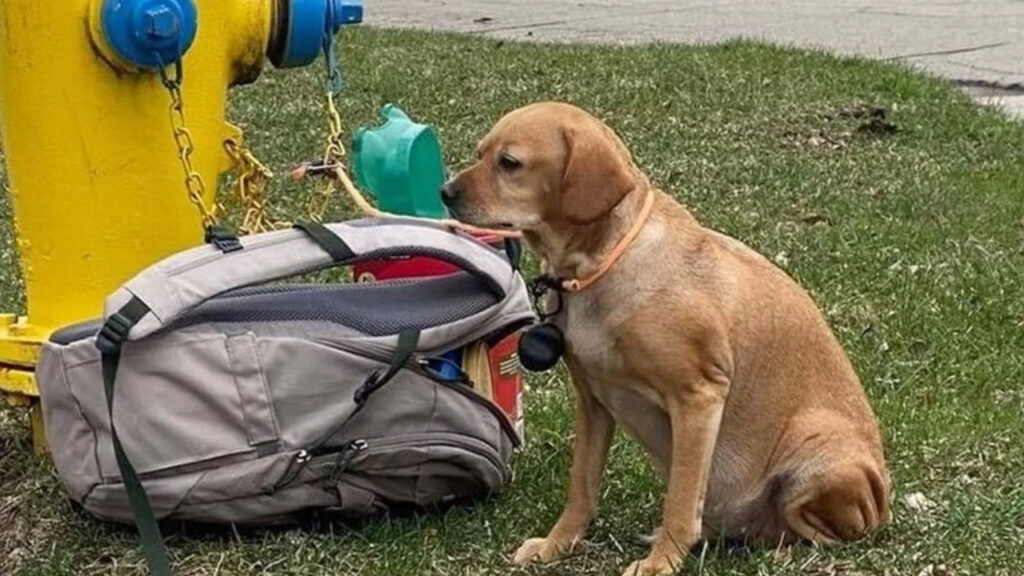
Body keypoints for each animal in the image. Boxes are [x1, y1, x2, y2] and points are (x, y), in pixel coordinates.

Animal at [440, 103, 888, 573]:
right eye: (481, 152)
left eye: (509, 163)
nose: (444, 191)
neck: (600, 265)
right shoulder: (594, 402)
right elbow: (581, 488)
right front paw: (557, 545)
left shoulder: (699, 397)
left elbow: (681, 500)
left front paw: (662, 562)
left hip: (817, 452)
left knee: (822, 532)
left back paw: (782, 550)